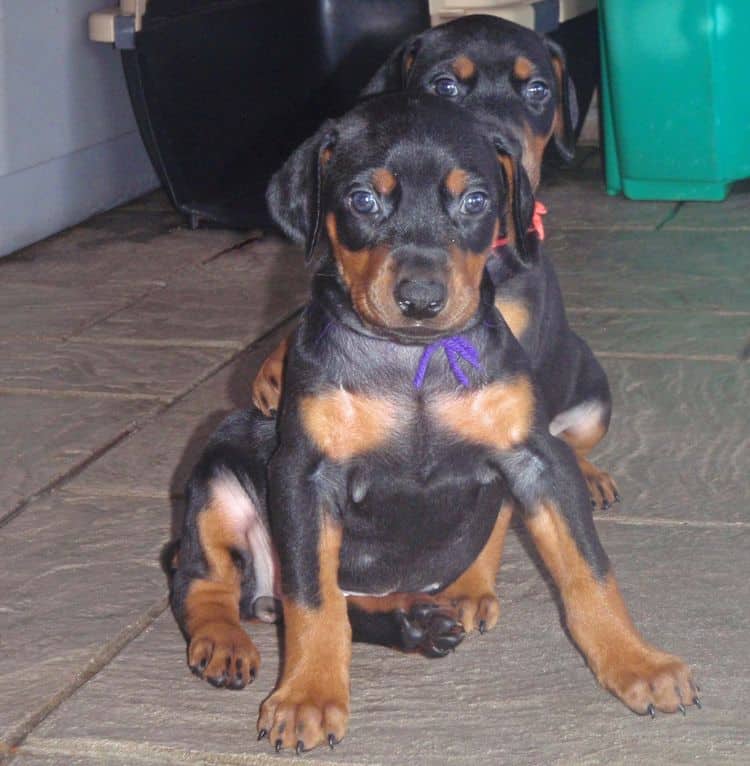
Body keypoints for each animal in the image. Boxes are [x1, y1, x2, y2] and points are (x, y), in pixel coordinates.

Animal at [170, 91, 700, 756]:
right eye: (363, 200)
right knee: (202, 578)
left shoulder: (536, 458)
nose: (420, 299)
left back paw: (417, 619)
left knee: (347, 600)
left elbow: (590, 570)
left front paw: (638, 664)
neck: (412, 361)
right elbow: (313, 600)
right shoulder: (303, 474)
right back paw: (225, 644)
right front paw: (308, 698)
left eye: (474, 201)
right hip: (218, 473)